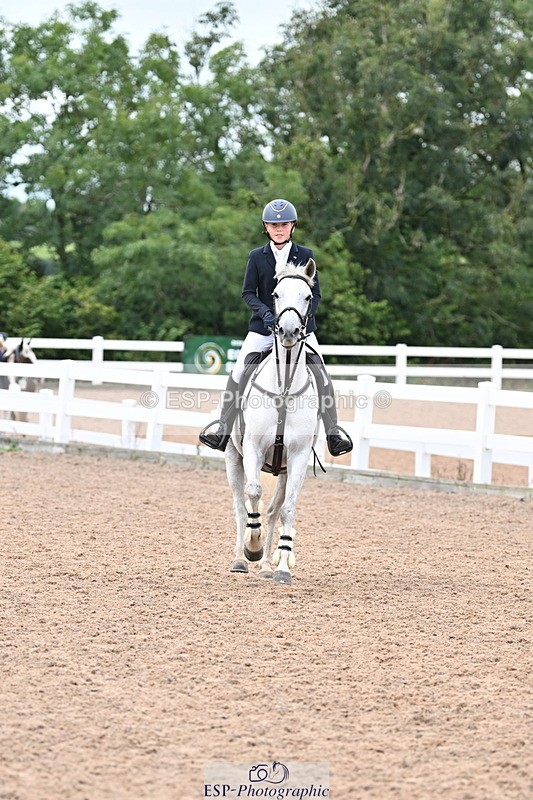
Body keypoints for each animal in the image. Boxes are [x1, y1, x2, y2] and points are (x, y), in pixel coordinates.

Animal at [225, 258, 319, 585]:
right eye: (276, 294)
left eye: (308, 296)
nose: (288, 331)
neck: (284, 387)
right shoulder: (252, 448)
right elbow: (252, 494)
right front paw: (251, 548)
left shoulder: (298, 456)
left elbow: (287, 509)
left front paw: (282, 567)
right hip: (233, 457)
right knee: (240, 507)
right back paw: (242, 559)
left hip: (283, 470)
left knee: (273, 510)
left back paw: (267, 565)